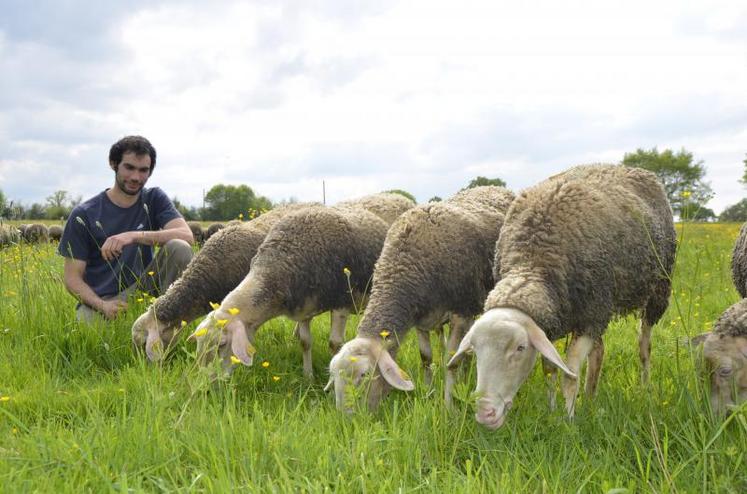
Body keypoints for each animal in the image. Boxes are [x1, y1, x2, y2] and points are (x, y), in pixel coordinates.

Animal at [190, 201, 394, 378]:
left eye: (222, 344)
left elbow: (335, 345)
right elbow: (305, 343)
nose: (206, 385)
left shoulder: (341, 303)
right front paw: (308, 376)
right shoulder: (304, 308)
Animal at [330, 184, 516, 410]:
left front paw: (448, 406)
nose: (345, 416)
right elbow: (426, 357)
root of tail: (490, 186)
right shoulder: (422, 318)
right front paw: (429, 394)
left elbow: (451, 361)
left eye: (364, 375)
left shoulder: (461, 312)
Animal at [448, 165, 680, 428]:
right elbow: (550, 368)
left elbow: (570, 374)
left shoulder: (590, 319)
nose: (485, 414)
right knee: (599, 352)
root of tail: (634, 169)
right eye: (475, 350)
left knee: (644, 345)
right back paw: (590, 397)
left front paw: (568, 420)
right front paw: (551, 410)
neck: (533, 264)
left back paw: (645, 387)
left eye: (520, 348)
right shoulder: (550, 324)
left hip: (657, 289)